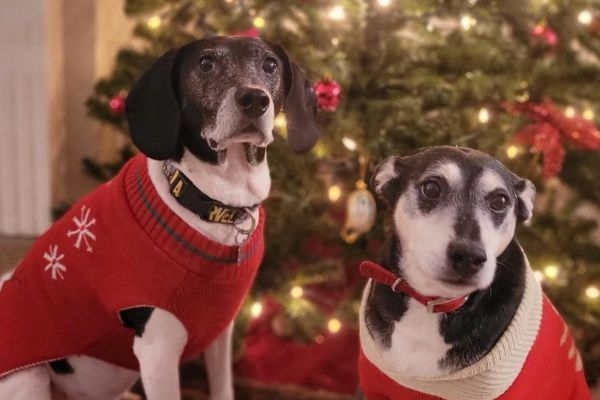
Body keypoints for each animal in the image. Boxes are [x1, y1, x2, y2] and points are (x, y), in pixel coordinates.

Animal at [0, 36, 318, 398]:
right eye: (205, 64)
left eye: (270, 65)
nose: (254, 99)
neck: (212, 203)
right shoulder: (158, 350)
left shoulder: (220, 332)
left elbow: (223, 388)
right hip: (30, 377)